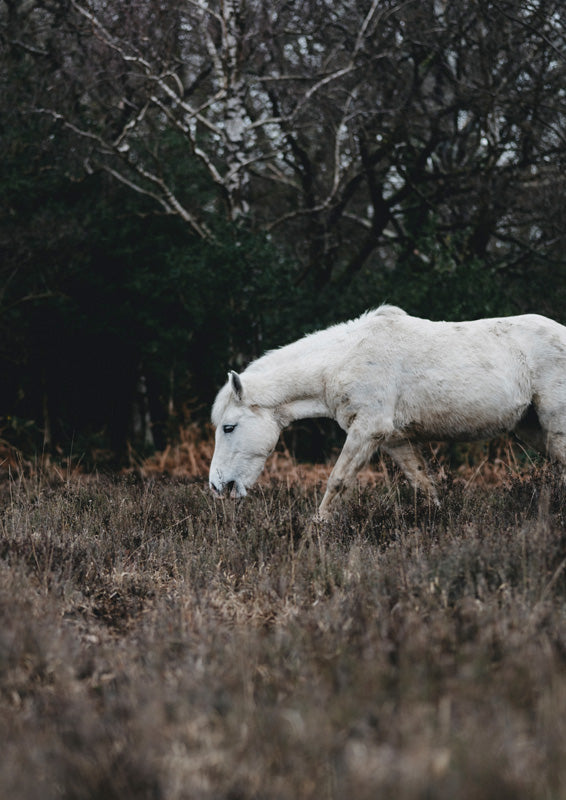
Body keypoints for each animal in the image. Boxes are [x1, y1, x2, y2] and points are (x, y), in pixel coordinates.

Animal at [209, 305, 566, 519]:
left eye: (229, 427)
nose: (217, 486)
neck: (342, 360)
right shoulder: (395, 440)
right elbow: (423, 484)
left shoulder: (368, 430)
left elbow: (337, 480)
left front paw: (316, 528)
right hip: (534, 429)